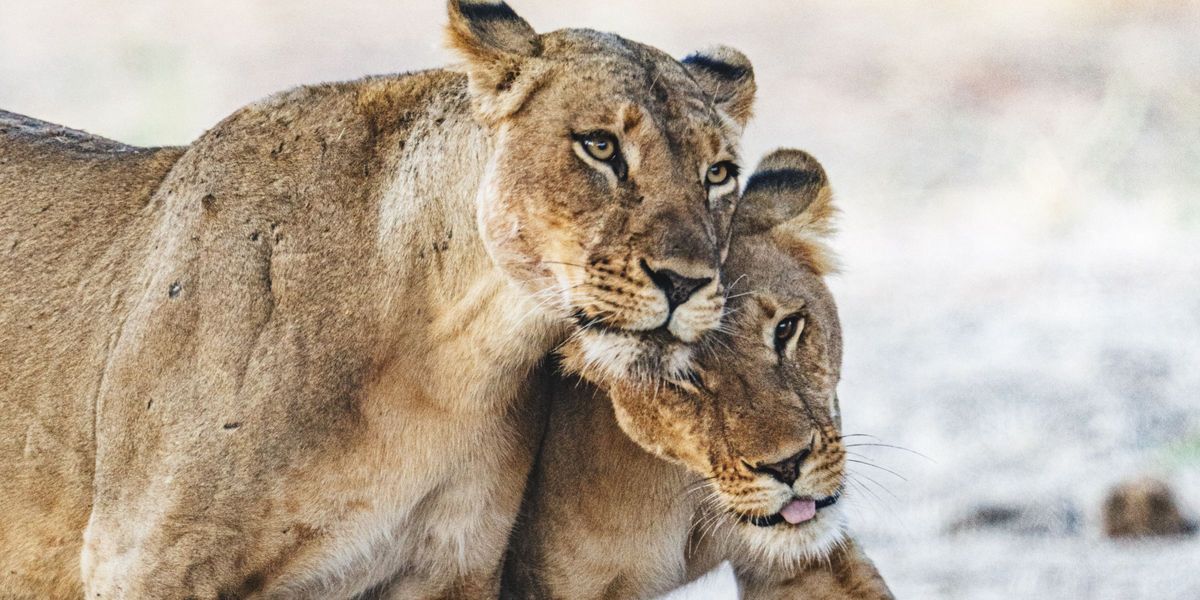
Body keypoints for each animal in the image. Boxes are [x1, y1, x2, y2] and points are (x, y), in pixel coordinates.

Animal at [0, 1, 757, 597]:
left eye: (719, 173)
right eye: (600, 147)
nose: (686, 282)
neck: (450, 360)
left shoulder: (452, 564)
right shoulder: (144, 557)